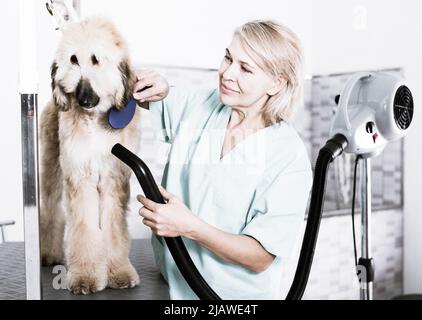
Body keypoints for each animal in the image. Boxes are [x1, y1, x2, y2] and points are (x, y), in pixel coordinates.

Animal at [38, 16, 140, 294]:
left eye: (96, 59)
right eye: (73, 59)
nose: (83, 98)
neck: (95, 122)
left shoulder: (113, 180)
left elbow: (114, 230)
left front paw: (118, 272)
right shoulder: (80, 177)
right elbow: (84, 228)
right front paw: (85, 276)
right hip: (51, 166)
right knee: (50, 209)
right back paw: (48, 253)